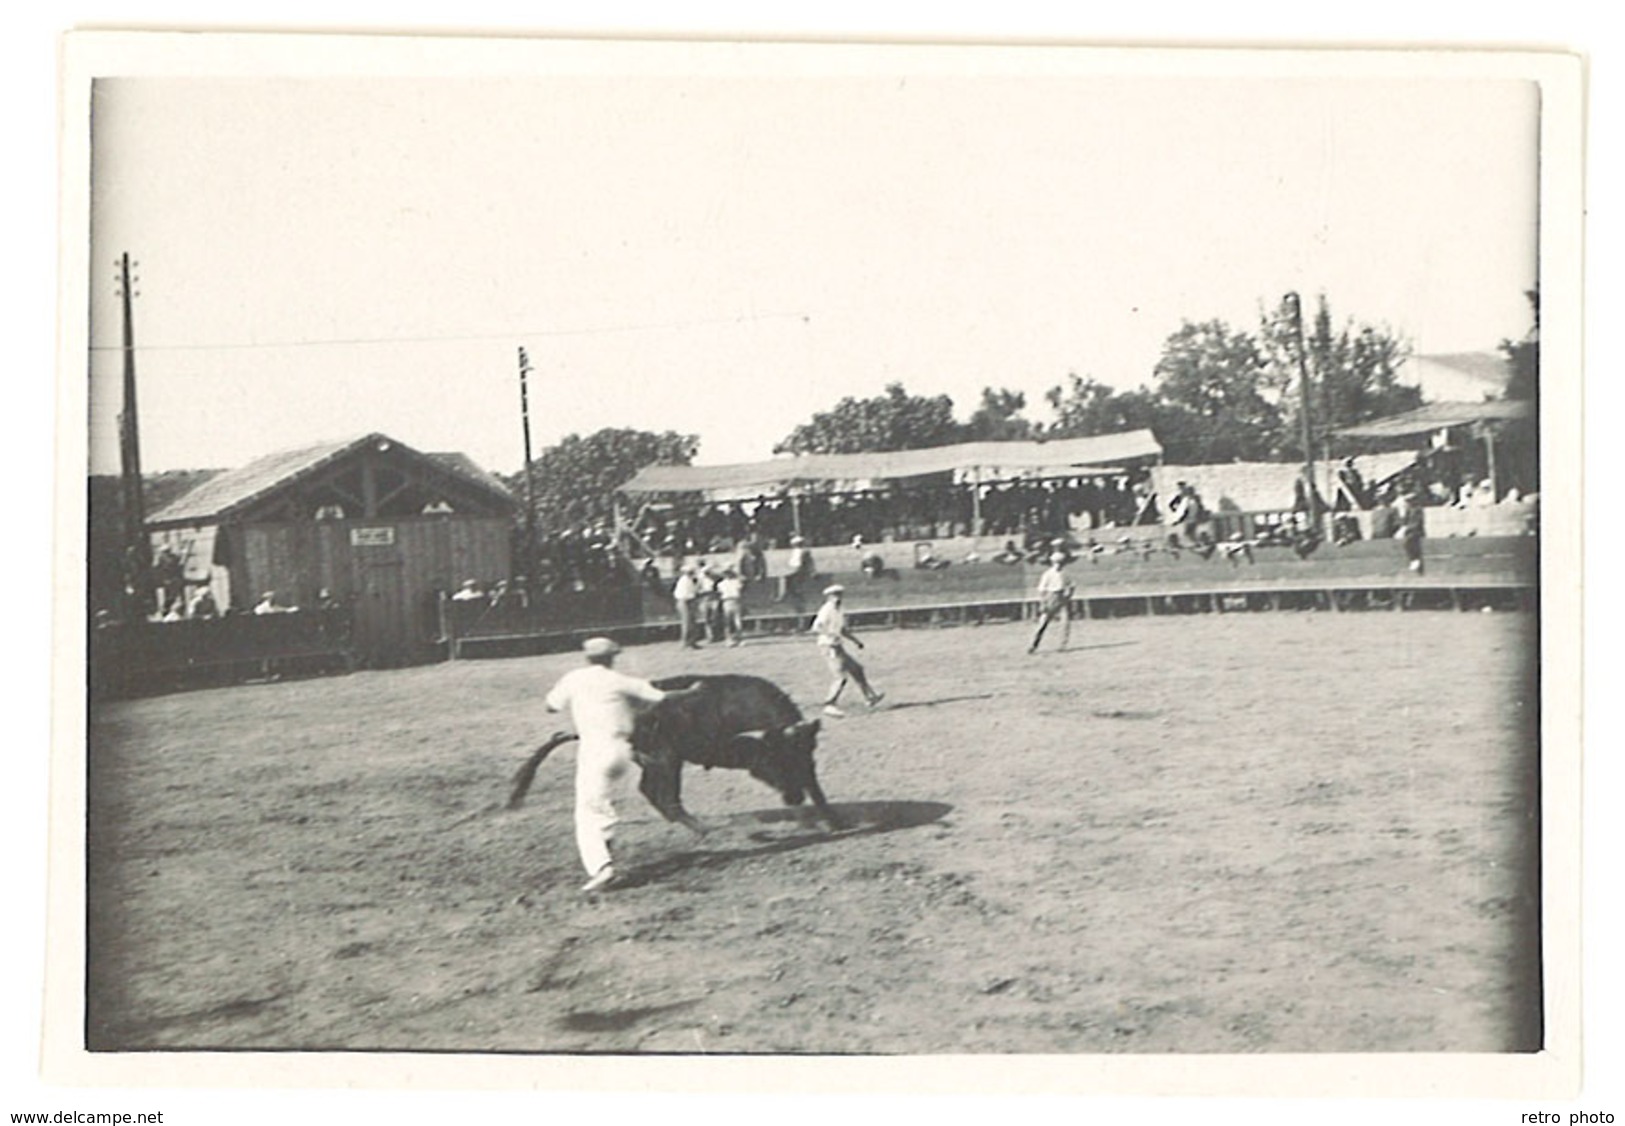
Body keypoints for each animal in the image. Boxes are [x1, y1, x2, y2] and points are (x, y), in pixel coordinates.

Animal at [507, 672, 845, 828]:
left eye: (799, 753)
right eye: (773, 757)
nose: (793, 798)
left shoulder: (807, 765)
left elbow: (817, 789)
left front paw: (831, 820)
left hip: (658, 760)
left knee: (651, 791)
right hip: (666, 760)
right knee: (662, 794)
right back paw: (699, 827)